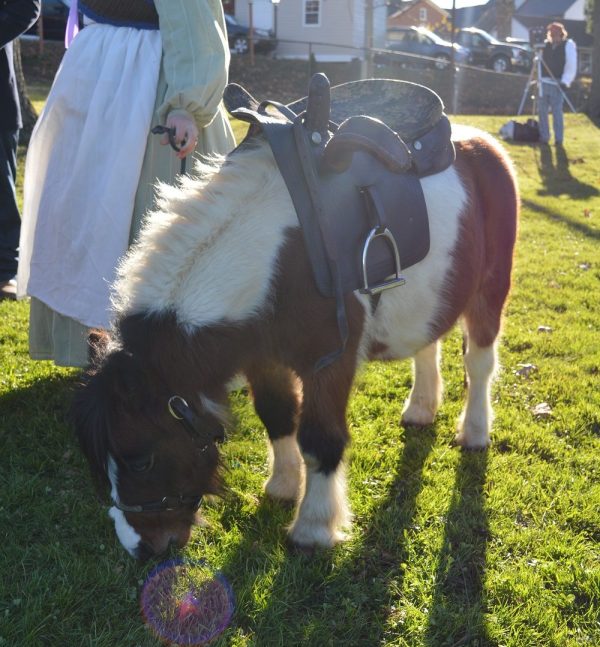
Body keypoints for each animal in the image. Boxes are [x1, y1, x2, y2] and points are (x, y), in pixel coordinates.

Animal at [71, 128, 516, 560]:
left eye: (140, 460)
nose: (140, 548)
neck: (280, 261)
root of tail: (483, 141)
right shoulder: (262, 359)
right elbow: (278, 415)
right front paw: (283, 486)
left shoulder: (330, 362)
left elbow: (320, 438)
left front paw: (313, 527)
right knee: (427, 344)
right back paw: (421, 408)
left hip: (491, 290)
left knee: (479, 365)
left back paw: (475, 431)